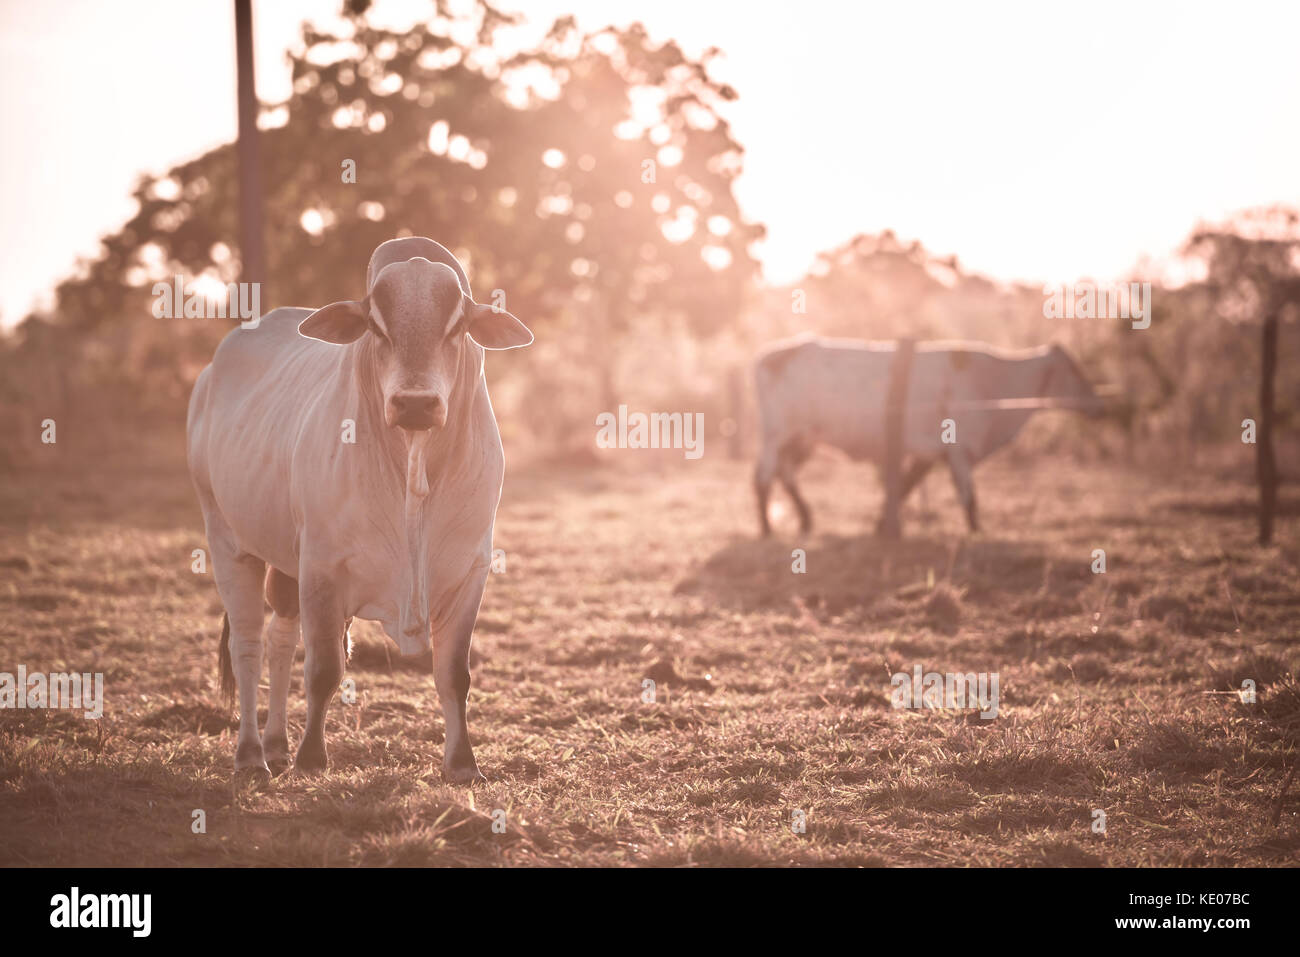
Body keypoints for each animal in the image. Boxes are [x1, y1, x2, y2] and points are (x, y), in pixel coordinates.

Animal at [185, 235, 530, 780]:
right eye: (376, 325)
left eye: (456, 326)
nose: (416, 404)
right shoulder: (323, 569)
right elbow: (325, 670)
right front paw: (311, 757)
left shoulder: (470, 571)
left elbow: (454, 674)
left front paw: (462, 764)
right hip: (227, 541)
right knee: (248, 646)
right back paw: (252, 755)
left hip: (286, 563)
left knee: (280, 639)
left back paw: (276, 743)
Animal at [754, 335, 1097, 535]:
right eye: (1073, 370)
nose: (1097, 401)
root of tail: (772, 356)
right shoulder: (958, 450)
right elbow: (969, 497)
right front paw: (976, 531)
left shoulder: (931, 453)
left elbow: (905, 487)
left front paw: (883, 524)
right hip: (777, 436)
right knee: (763, 479)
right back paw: (768, 528)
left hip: (801, 440)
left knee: (785, 475)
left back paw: (804, 520)